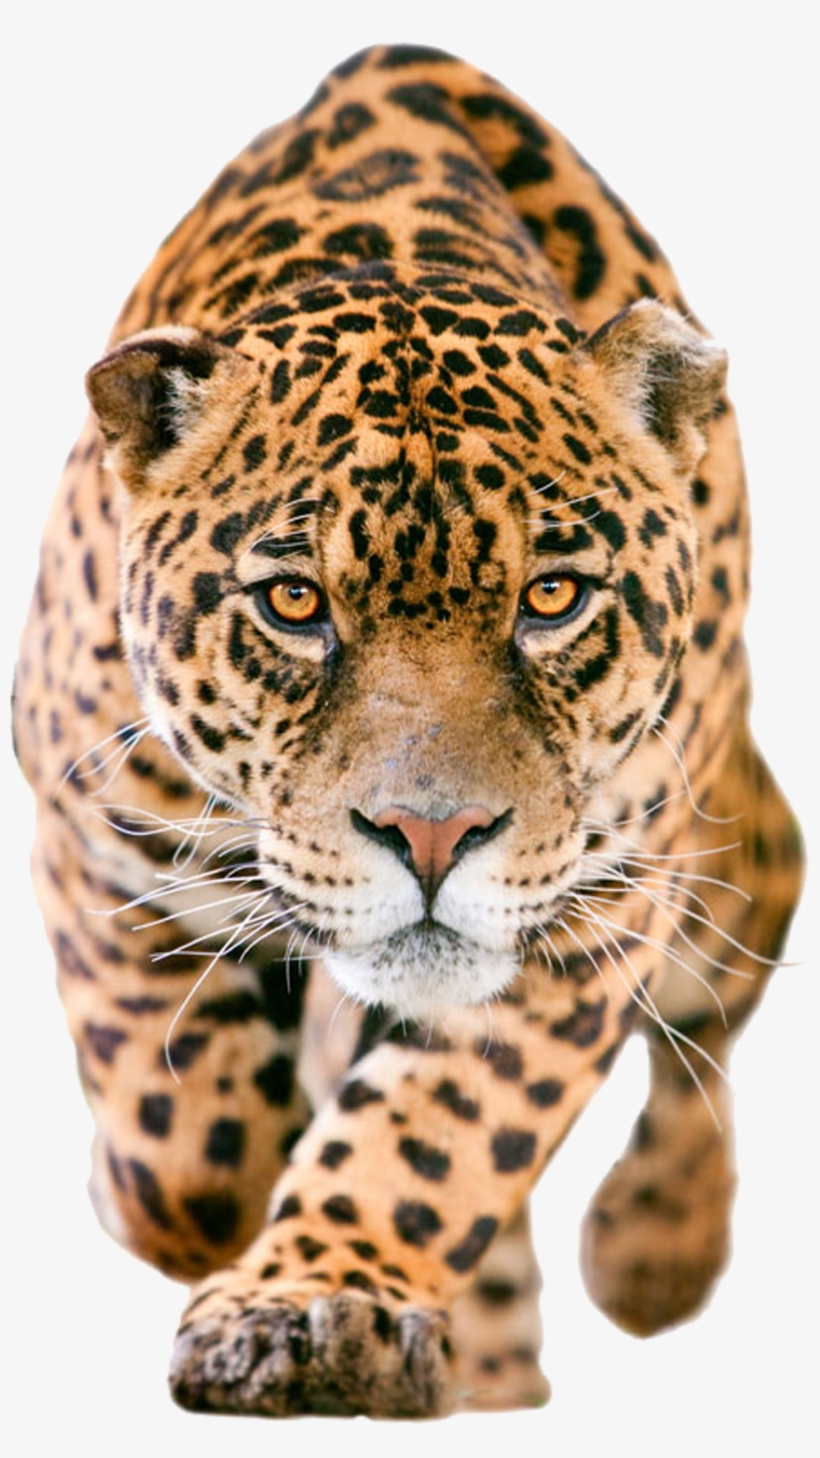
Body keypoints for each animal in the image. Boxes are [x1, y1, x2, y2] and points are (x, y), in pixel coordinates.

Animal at [13, 43, 803, 1418]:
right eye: (294, 603)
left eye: (552, 598)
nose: (432, 838)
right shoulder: (88, 823)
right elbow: (184, 1148)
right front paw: (194, 1208)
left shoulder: (597, 904)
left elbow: (441, 1132)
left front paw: (316, 1304)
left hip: (723, 862)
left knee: (718, 1002)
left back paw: (650, 1253)